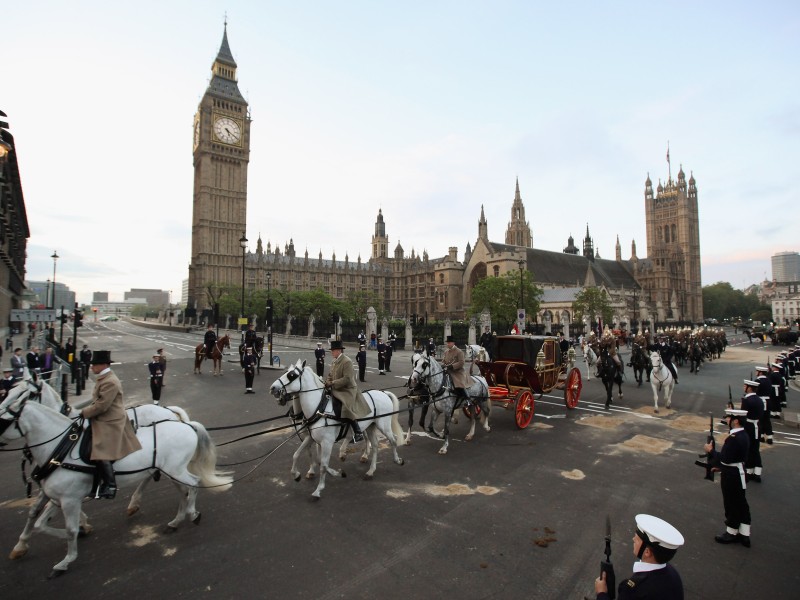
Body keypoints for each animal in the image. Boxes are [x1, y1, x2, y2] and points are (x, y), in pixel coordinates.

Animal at [0, 392, 231, 576]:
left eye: (2, 417)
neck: (62, 447)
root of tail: (186, 425)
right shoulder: (58, 498)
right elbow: (38, 521)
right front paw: (24, 545)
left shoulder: (70, 500)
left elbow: (69, 530)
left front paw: (66, 559)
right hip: (172, 471)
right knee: (182, 490)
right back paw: (175, 520)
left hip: (176, 471)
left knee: (193, 484)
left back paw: (191, 513)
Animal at [270, 360, 406, 496]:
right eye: (287, 372)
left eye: (291, 375)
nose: (272, 388)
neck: (319, 409)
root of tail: (383, 393)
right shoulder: (311, 438)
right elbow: (298, 454)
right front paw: (297, 474)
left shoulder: (327, 442)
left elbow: (323, 465)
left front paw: (319, 489)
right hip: (370, 427)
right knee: (375, 445)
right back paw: (370, 470)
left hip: (383, 426)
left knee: (393, 439)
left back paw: (397, 460)